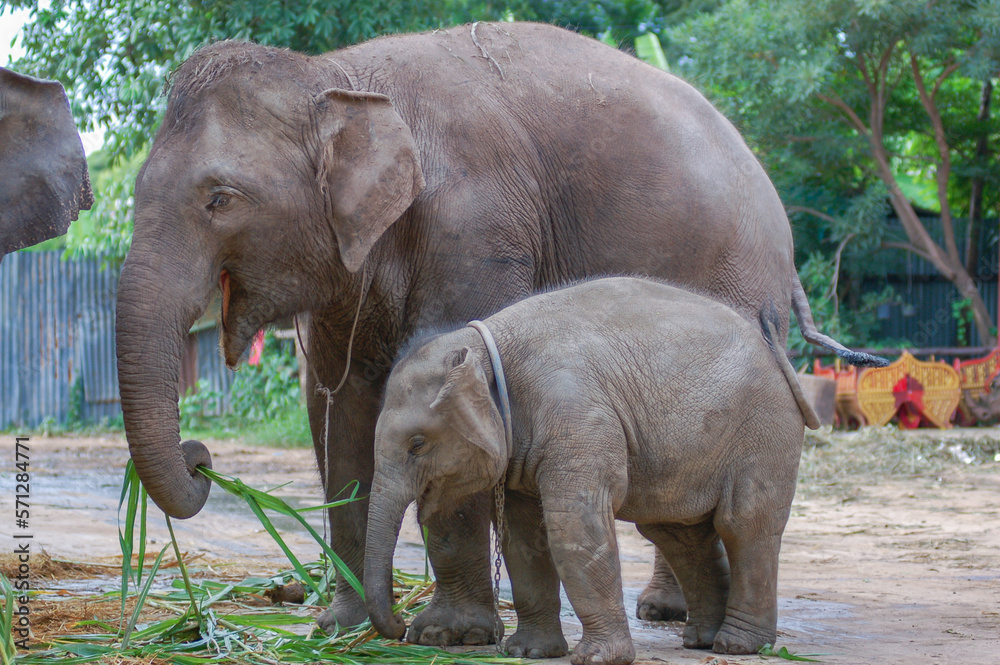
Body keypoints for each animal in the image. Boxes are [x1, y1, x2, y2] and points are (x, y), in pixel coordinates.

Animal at [363, 277, 820, 663]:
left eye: (417, 445)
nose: (401, 626)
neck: (486, 342)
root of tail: (779, 357)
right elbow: (523, 536)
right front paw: (530, 652)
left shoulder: (575, 412)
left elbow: (574, 522)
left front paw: (598, 658)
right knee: (677, 532)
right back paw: (702, 640)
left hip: (764, 433)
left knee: (743, 523)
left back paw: (738, 645)